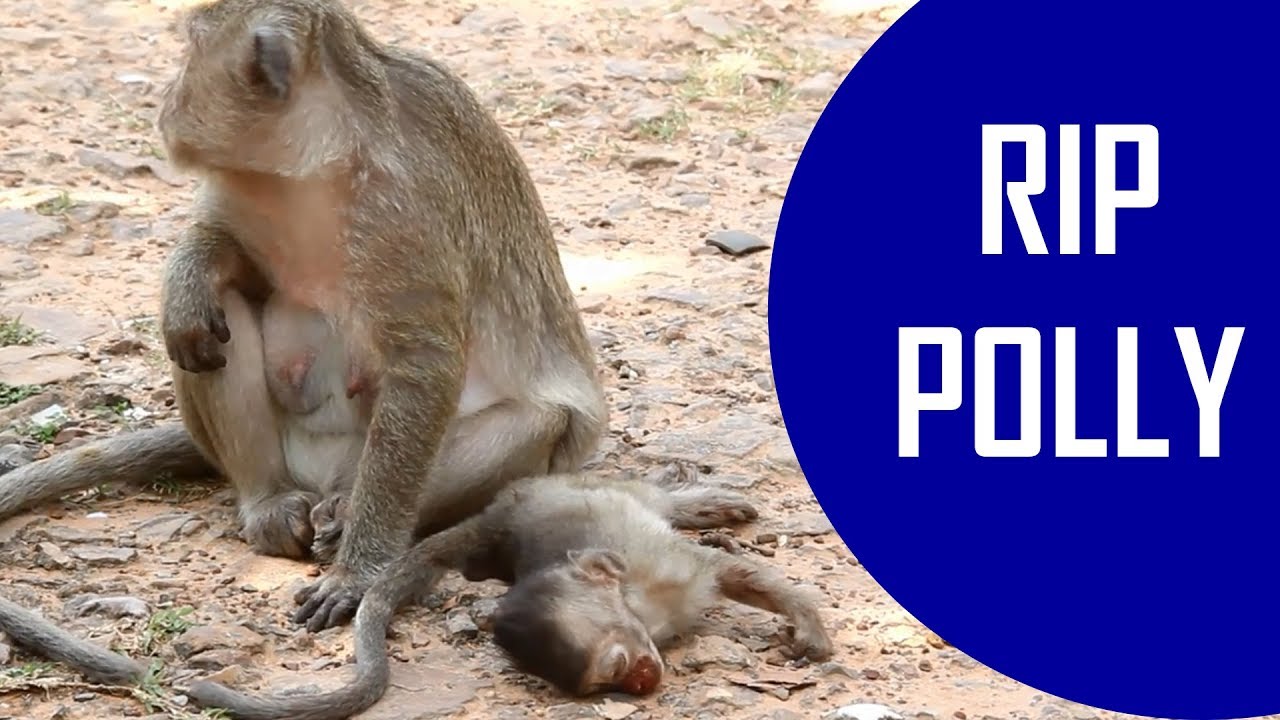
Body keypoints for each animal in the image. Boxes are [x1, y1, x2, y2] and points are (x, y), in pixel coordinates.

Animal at [0, 0, 608, 634]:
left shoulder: (401, 213)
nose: (166, 102)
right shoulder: (246, 190)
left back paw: (344, 510)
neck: (318, 164)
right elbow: (226, 266)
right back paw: (268, 500)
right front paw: (188, 280)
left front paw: (360, 570)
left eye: (191, 49)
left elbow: (426, 364)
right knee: (219, 319)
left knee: (534, 422)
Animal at [183, 472, 834, 720]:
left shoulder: (664, 575)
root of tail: (494, 521)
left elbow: (724, 572)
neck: (643, 610)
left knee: (646, 501)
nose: (643, 681)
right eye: (610, 681)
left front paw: (806, 621)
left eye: (621, 666)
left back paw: (699, 504)